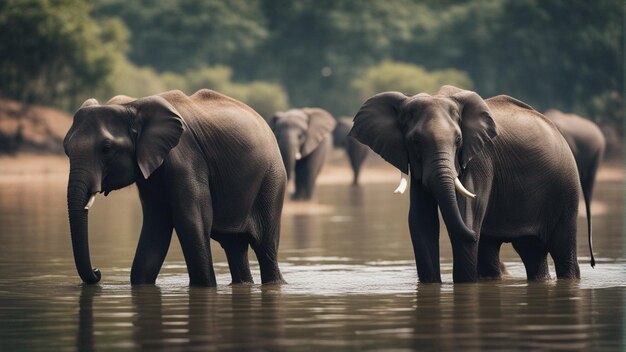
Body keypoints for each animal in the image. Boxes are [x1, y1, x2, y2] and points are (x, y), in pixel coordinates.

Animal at [62, 88, 286, 286]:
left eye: (107, 148)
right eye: (66, 150)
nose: (97, 271)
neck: (131, 105)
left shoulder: (185, 158)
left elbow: (191, 220)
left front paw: (205, 286)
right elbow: (156, 224)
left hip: (271, 180)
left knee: (265, 246)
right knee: (234, 246)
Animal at [348, 85, 584, 284]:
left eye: (458, 141)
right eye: (415, 141)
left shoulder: (479, 158)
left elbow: (466, 215)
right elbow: (421, 223)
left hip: (566, 188)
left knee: (562, 248)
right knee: (528, 252)